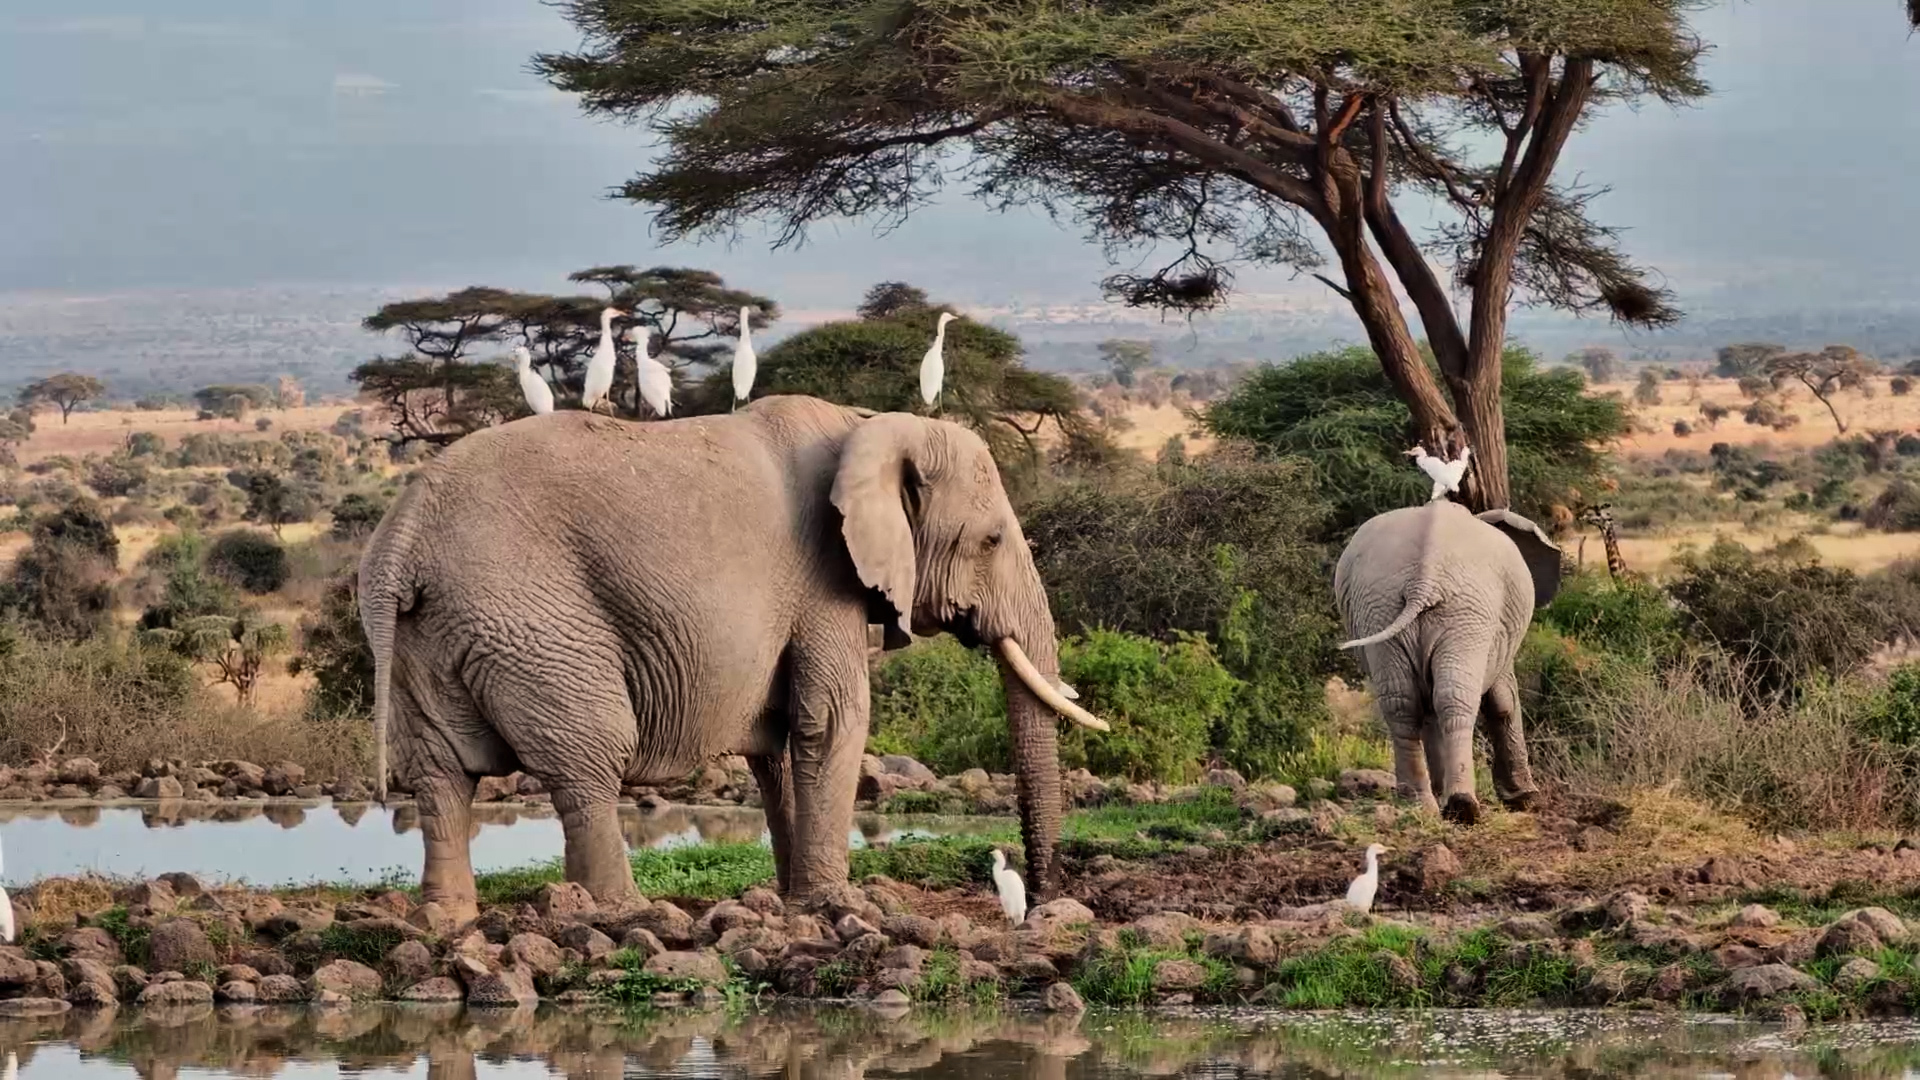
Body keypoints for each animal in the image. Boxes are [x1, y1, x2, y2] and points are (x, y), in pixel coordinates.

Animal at [357, 396, 1106, 921]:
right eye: (991, 541)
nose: (1041, 899)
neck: (870, 424)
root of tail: (402, 538)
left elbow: (777, 741)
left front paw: (794, 899)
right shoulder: (822, 577)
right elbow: (832, 720)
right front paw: (837, 908)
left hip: (431, 632)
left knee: (441, 776)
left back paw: (447, 920)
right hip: (531, 621)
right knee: (588, 759)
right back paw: (623, 914)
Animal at [1332, 499, 1561, 823]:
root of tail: (1422, 580)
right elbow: (1503, 699)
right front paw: (1524, 798)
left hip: (1379, 607)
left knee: (1402, 702)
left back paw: (1422, 806)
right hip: (1467, 612)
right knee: (1455, 696)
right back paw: (1463, 807)